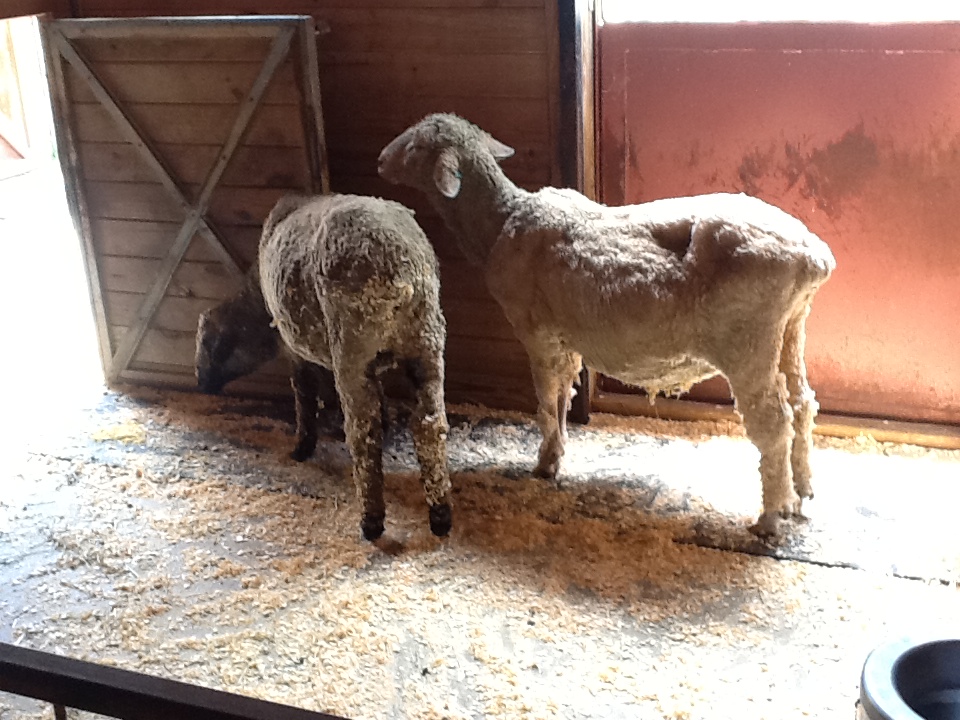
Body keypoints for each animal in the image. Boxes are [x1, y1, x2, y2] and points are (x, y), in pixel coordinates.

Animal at [256, 193, 452, 541]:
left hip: (352, 343)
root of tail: (400, 265)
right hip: (426, 339)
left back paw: (371, 521)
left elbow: (303, 392)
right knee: (429, 424)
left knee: (363, 432)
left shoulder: (290, 343)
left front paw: (302, 446)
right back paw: (441, 516)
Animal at [377, 113, 836, 537]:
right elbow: (564, 394)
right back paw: (802, 493)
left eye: (417, 146)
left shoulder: (537, 332)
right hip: (791, 328)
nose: (381, 160)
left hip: (748, 341)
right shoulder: (566, 338)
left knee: (774, 423)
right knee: (802, 404)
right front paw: (557, 453)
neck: (499, 221)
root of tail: (812, 256)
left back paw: (771, 517)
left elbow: (546, 400)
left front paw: (544, 464)